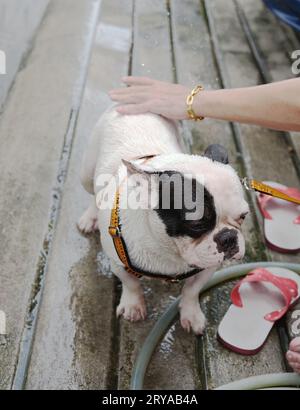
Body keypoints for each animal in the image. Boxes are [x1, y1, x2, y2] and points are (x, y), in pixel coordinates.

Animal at [78, 107, 248, 334]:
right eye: (197, 225)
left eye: (243, 216)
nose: (228, 237)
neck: (169, 250)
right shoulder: (117, 262)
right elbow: (131, 284)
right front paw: (133, 305)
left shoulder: (207, 267)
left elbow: (192, 289)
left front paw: (191, 314)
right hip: (87, 173)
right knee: (92, 193)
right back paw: (90, 217)